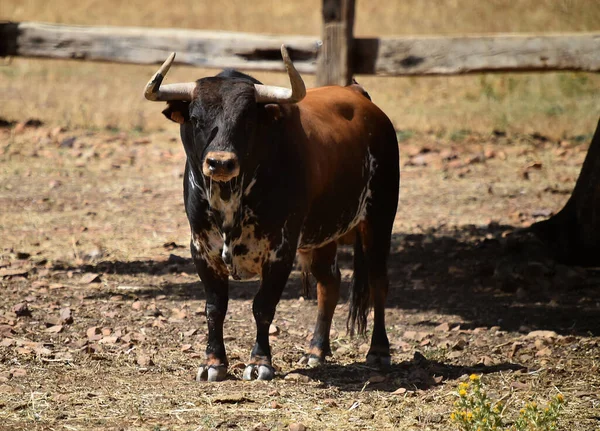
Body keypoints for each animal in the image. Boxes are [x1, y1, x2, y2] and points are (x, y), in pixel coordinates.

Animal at [143, 47, 400, 384]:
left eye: (247, 120)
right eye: (196, 119)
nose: (220, 162)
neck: (231, 199)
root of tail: (359, 95)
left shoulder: (281, 249)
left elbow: (263, 306)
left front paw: (259, 362)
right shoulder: (201, 248)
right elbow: (215, 307)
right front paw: (213, 363)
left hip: (379, 218)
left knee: (378, 280)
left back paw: (379, 351)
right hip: (321, 234)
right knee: (329, 284)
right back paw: (316, 351)